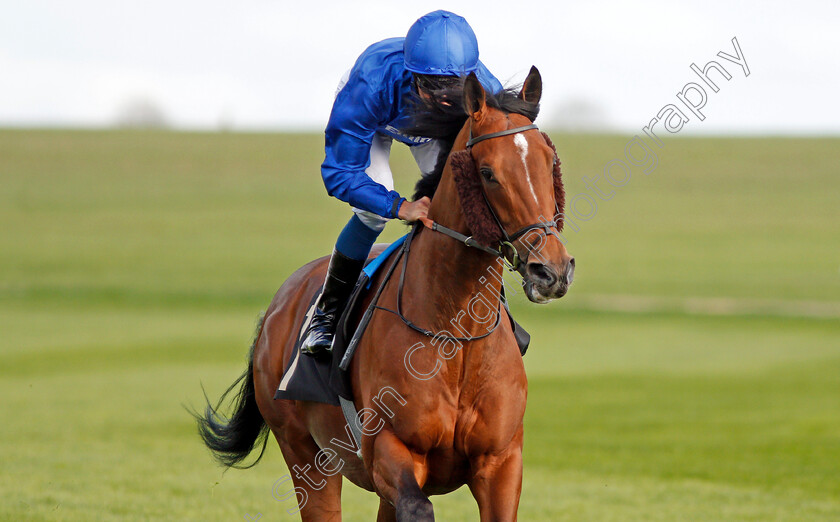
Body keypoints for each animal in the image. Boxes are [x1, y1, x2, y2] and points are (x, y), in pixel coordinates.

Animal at [195, 67, 576, 516]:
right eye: (488, 173)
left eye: (549, 163)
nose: (551, 270)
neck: (457, 336)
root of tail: (277, 305)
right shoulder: (391, 454)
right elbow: (419, 507)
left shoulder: (501, 463)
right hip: (306, 456)